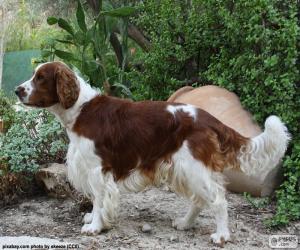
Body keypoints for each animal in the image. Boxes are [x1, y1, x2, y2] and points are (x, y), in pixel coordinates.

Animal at [15, 61, 290, 245]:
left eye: (40, 78)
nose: (17, 90)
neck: (81, 109)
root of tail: (207, 117)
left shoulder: (96, 169)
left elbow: (100, 198)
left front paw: (95, 227)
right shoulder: (90, 168)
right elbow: (95, 199)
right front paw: (93, 218)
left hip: (193, 167)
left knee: (218, 200)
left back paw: (221, 235)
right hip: (185, 169)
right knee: (200, 199)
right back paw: (185, 223)